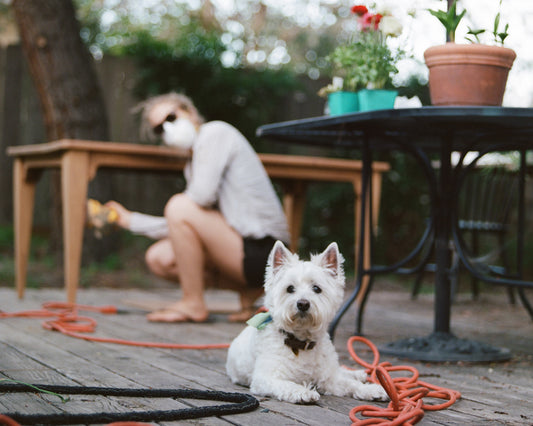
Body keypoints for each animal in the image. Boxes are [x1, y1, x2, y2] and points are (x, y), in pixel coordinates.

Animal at [225, 241, 386, 404]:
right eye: (290, 288)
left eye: (316, 288)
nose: (303, 304)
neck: (301, 342)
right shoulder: (265, 378)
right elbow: (287, 384)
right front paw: (303, 392)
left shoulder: (329, 378)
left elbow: (349, 383)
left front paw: (372, 390)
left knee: (342, 371)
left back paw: (359, 374)